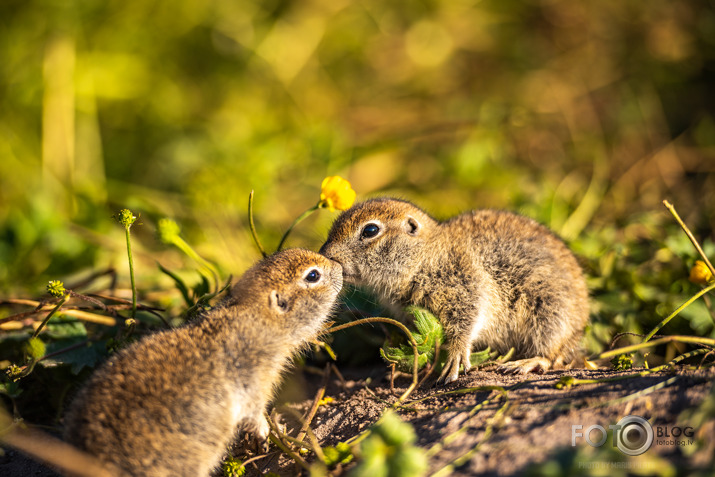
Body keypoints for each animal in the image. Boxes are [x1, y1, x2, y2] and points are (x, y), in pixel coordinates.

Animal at [63, 249, 342, 476]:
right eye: (313, 276)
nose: (339, 266)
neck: (256, 319)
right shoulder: (254, 380)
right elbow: (254, 412)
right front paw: (268, 432)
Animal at [322, 197, 592, 384]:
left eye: (370, 230)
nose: (326, 255)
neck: (425, 256)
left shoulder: (465, 285)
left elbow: (466, 323)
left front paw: (454, 359)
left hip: (549, 315)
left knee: (552, 355)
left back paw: (523, 363)